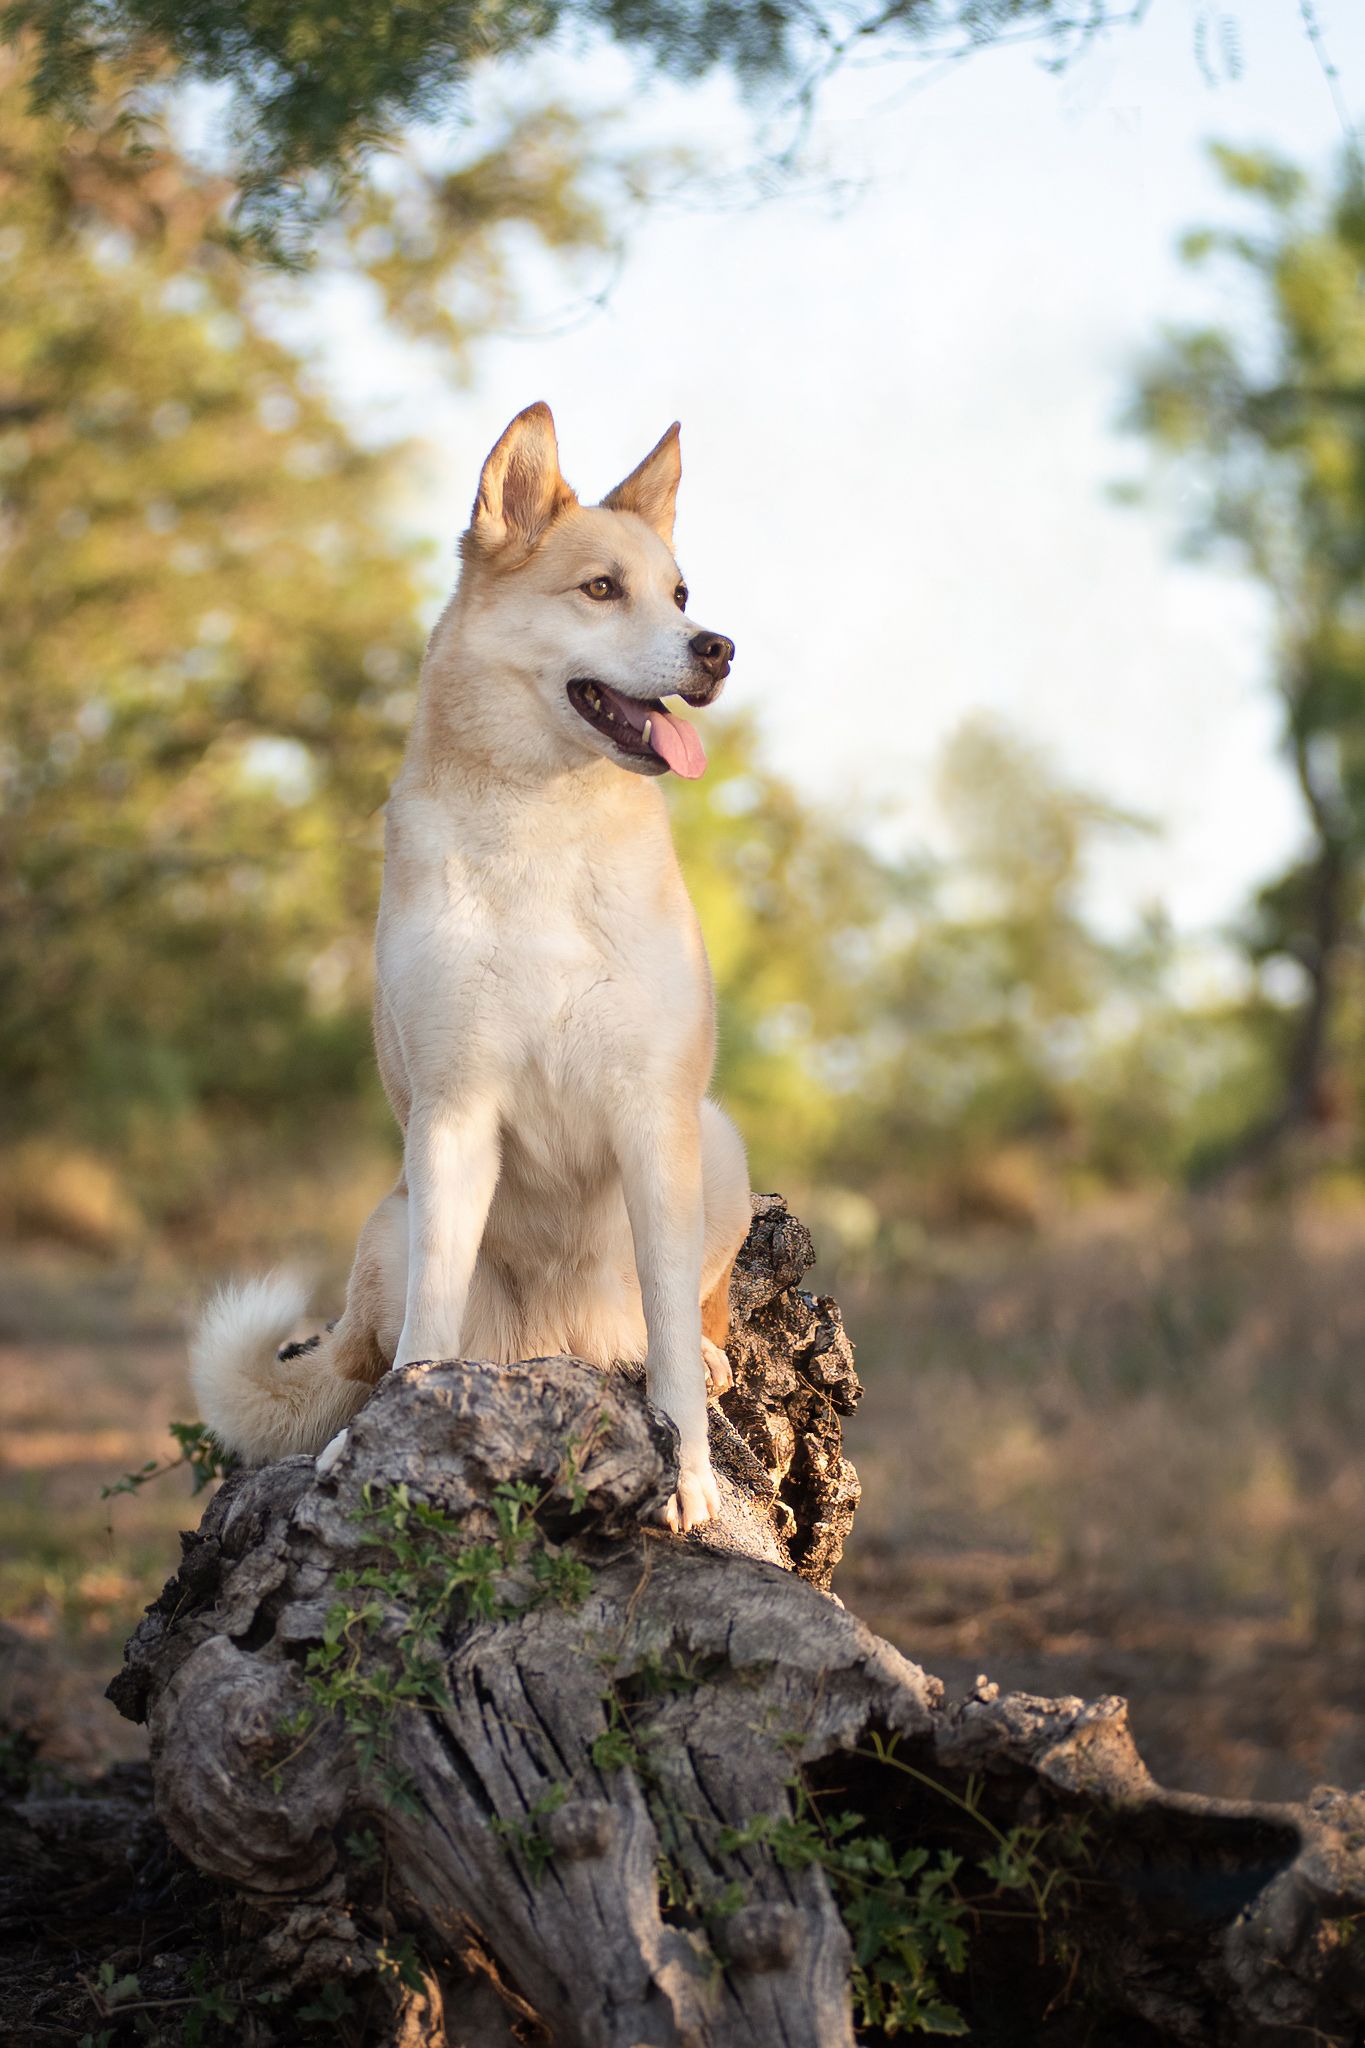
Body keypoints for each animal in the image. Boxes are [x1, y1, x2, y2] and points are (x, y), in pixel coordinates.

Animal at [189, 403, 749, 1523]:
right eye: (599, 589)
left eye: (679, 593)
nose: (717, 648)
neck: (540, 831)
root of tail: (565, 1343)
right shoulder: (454, 1114)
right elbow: (426, 1329)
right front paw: (378, 1448)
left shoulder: (652, 1116)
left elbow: (673, 1328)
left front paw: (690, 1481)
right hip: (390, 1220)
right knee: (375, 1348)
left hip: (718, 1142)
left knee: (690, 1315)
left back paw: (710, 1367)